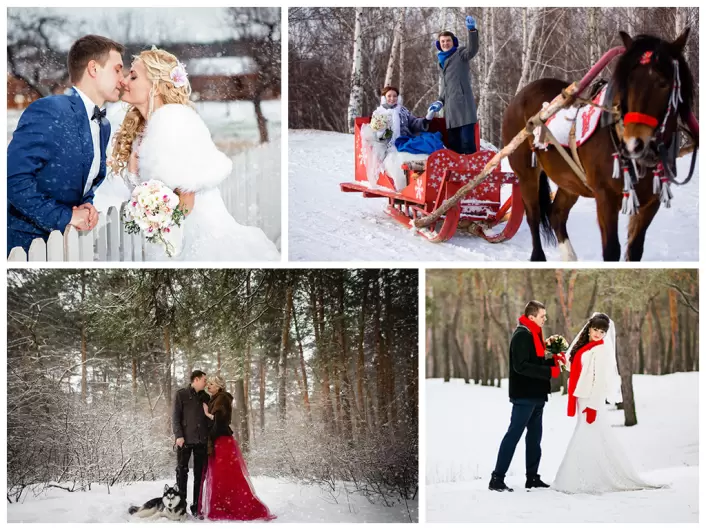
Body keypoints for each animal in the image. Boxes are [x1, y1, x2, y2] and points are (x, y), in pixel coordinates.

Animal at [500, 28, 692, 260]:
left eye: (664, 83)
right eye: (627, 82)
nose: (634, 142)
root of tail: (519, 97)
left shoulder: (650, 202)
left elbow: (635, 249)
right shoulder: (605, 196)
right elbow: (611, 249)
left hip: (570, 181)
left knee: (556, 214)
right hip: (526, 173)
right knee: (533, 216)